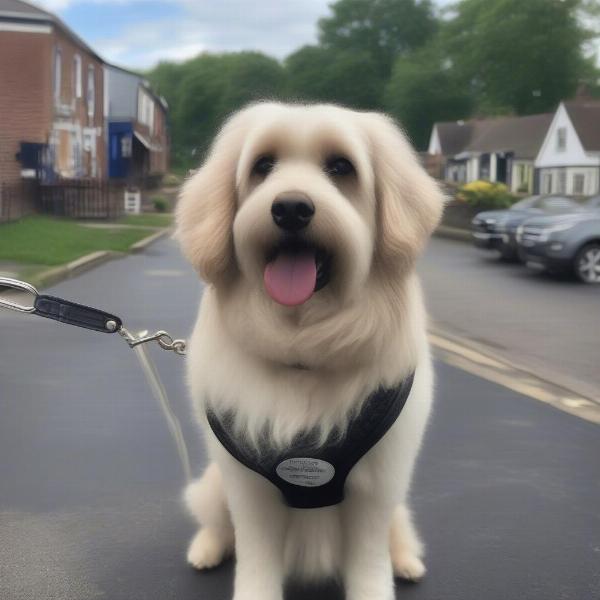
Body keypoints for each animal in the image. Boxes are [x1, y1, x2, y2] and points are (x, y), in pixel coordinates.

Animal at [176, 103, 442, 600]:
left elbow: (369, 565)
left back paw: (407, 561)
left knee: (399, 531)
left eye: (341, 167)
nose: (291, 208)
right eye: (263, 165)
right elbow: (256, 563)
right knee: (217, 523)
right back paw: (206, 549)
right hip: (214, 486)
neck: (304, 355)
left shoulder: (377, 489)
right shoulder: (250, 492)